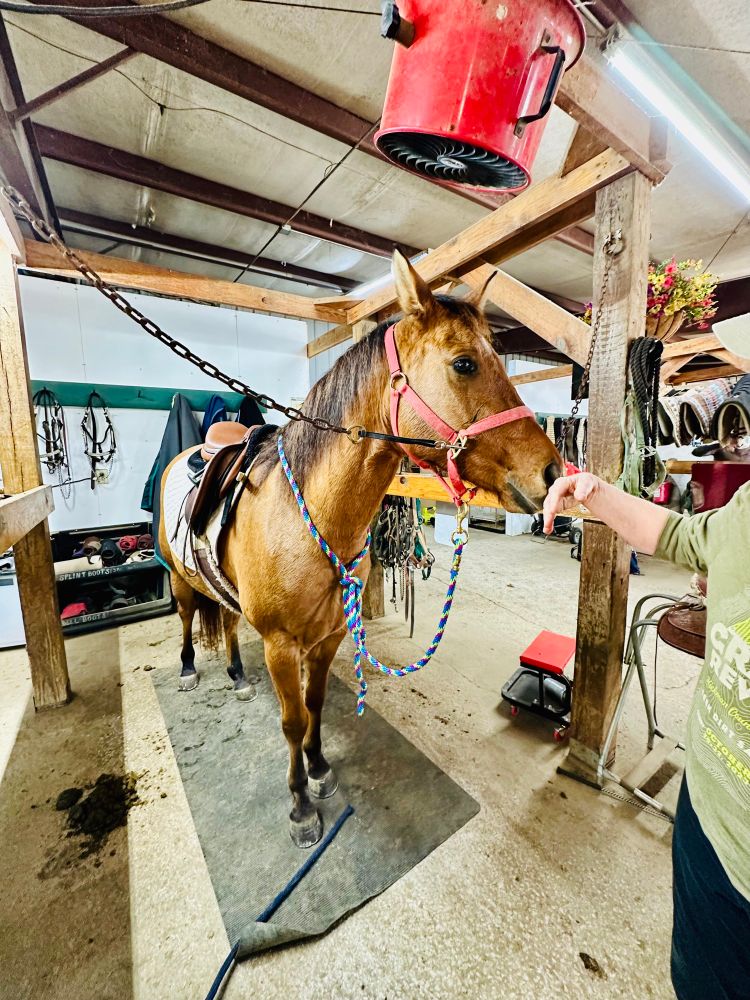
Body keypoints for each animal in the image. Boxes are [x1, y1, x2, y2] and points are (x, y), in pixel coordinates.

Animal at [159, 251, 562, 848]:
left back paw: (235, 674)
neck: (310, 517)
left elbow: (316, 704)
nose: (555, 472)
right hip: (178, 576)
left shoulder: (329, 637)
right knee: (189, 617)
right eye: (464, 364)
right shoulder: (281, 646)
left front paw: (320, 769)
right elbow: (292, 721)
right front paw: (301, 806)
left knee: (228, 622)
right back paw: (190, 669)